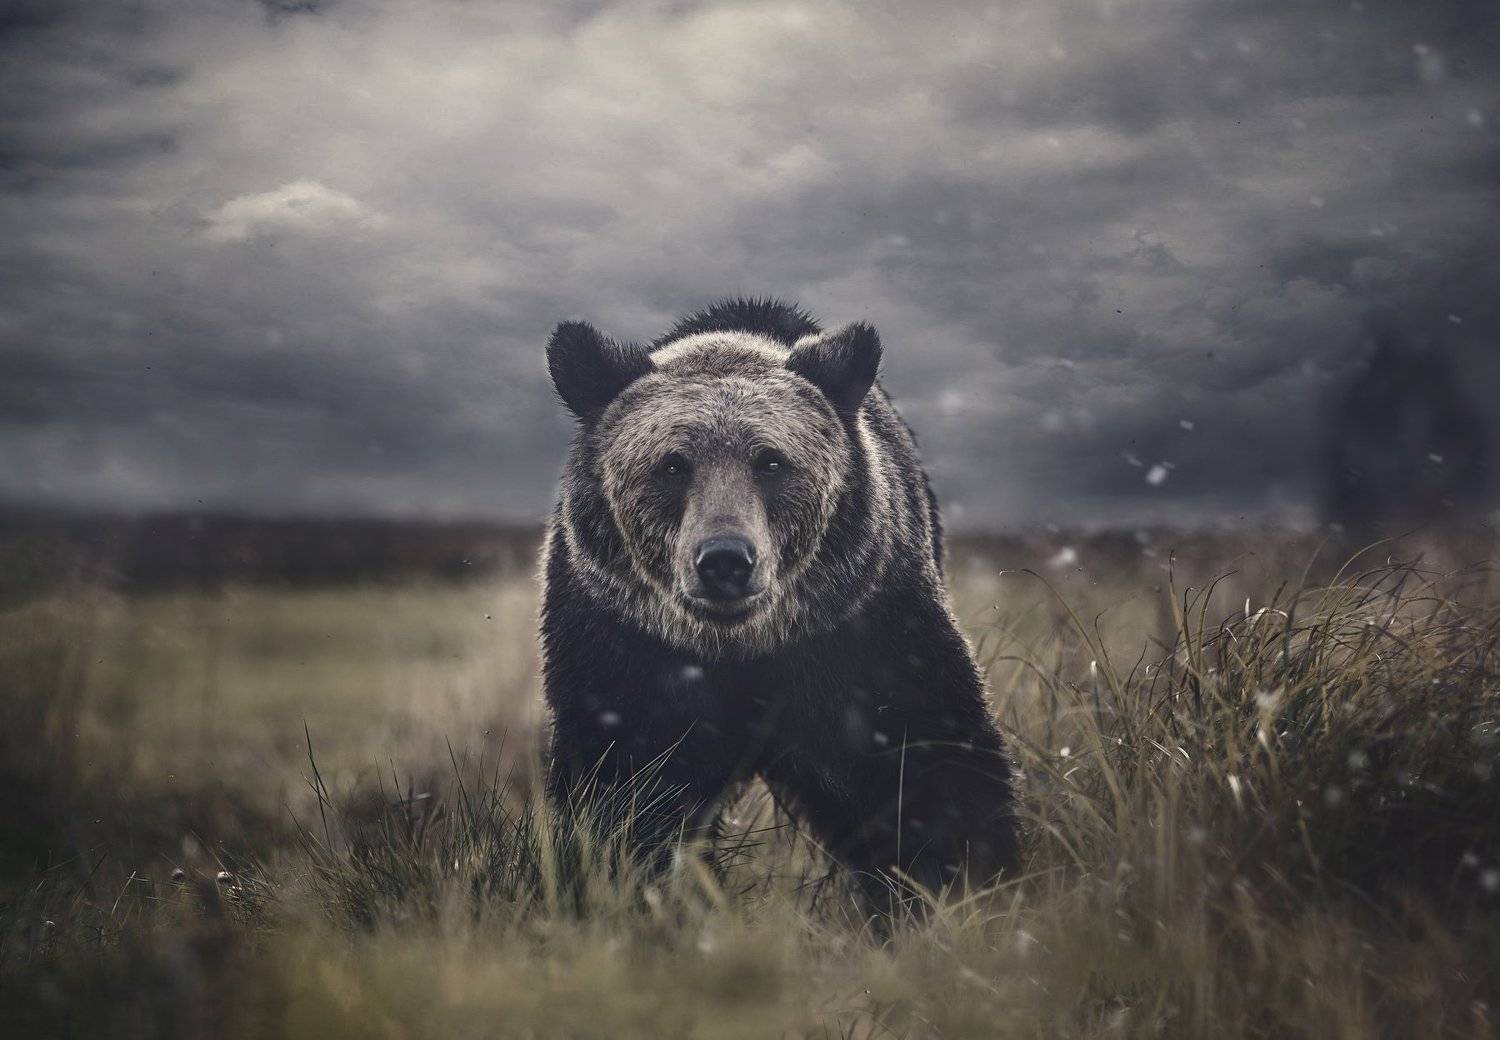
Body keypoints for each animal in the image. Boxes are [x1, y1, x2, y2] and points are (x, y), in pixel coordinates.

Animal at [539, 298, 1020, 908]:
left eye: (770, 462)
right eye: (672, 464)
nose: (724, 559)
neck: (744, 649)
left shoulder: (867, 631)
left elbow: (928, 764)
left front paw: (959, 884)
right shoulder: (627, 646)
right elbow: (625, 788)